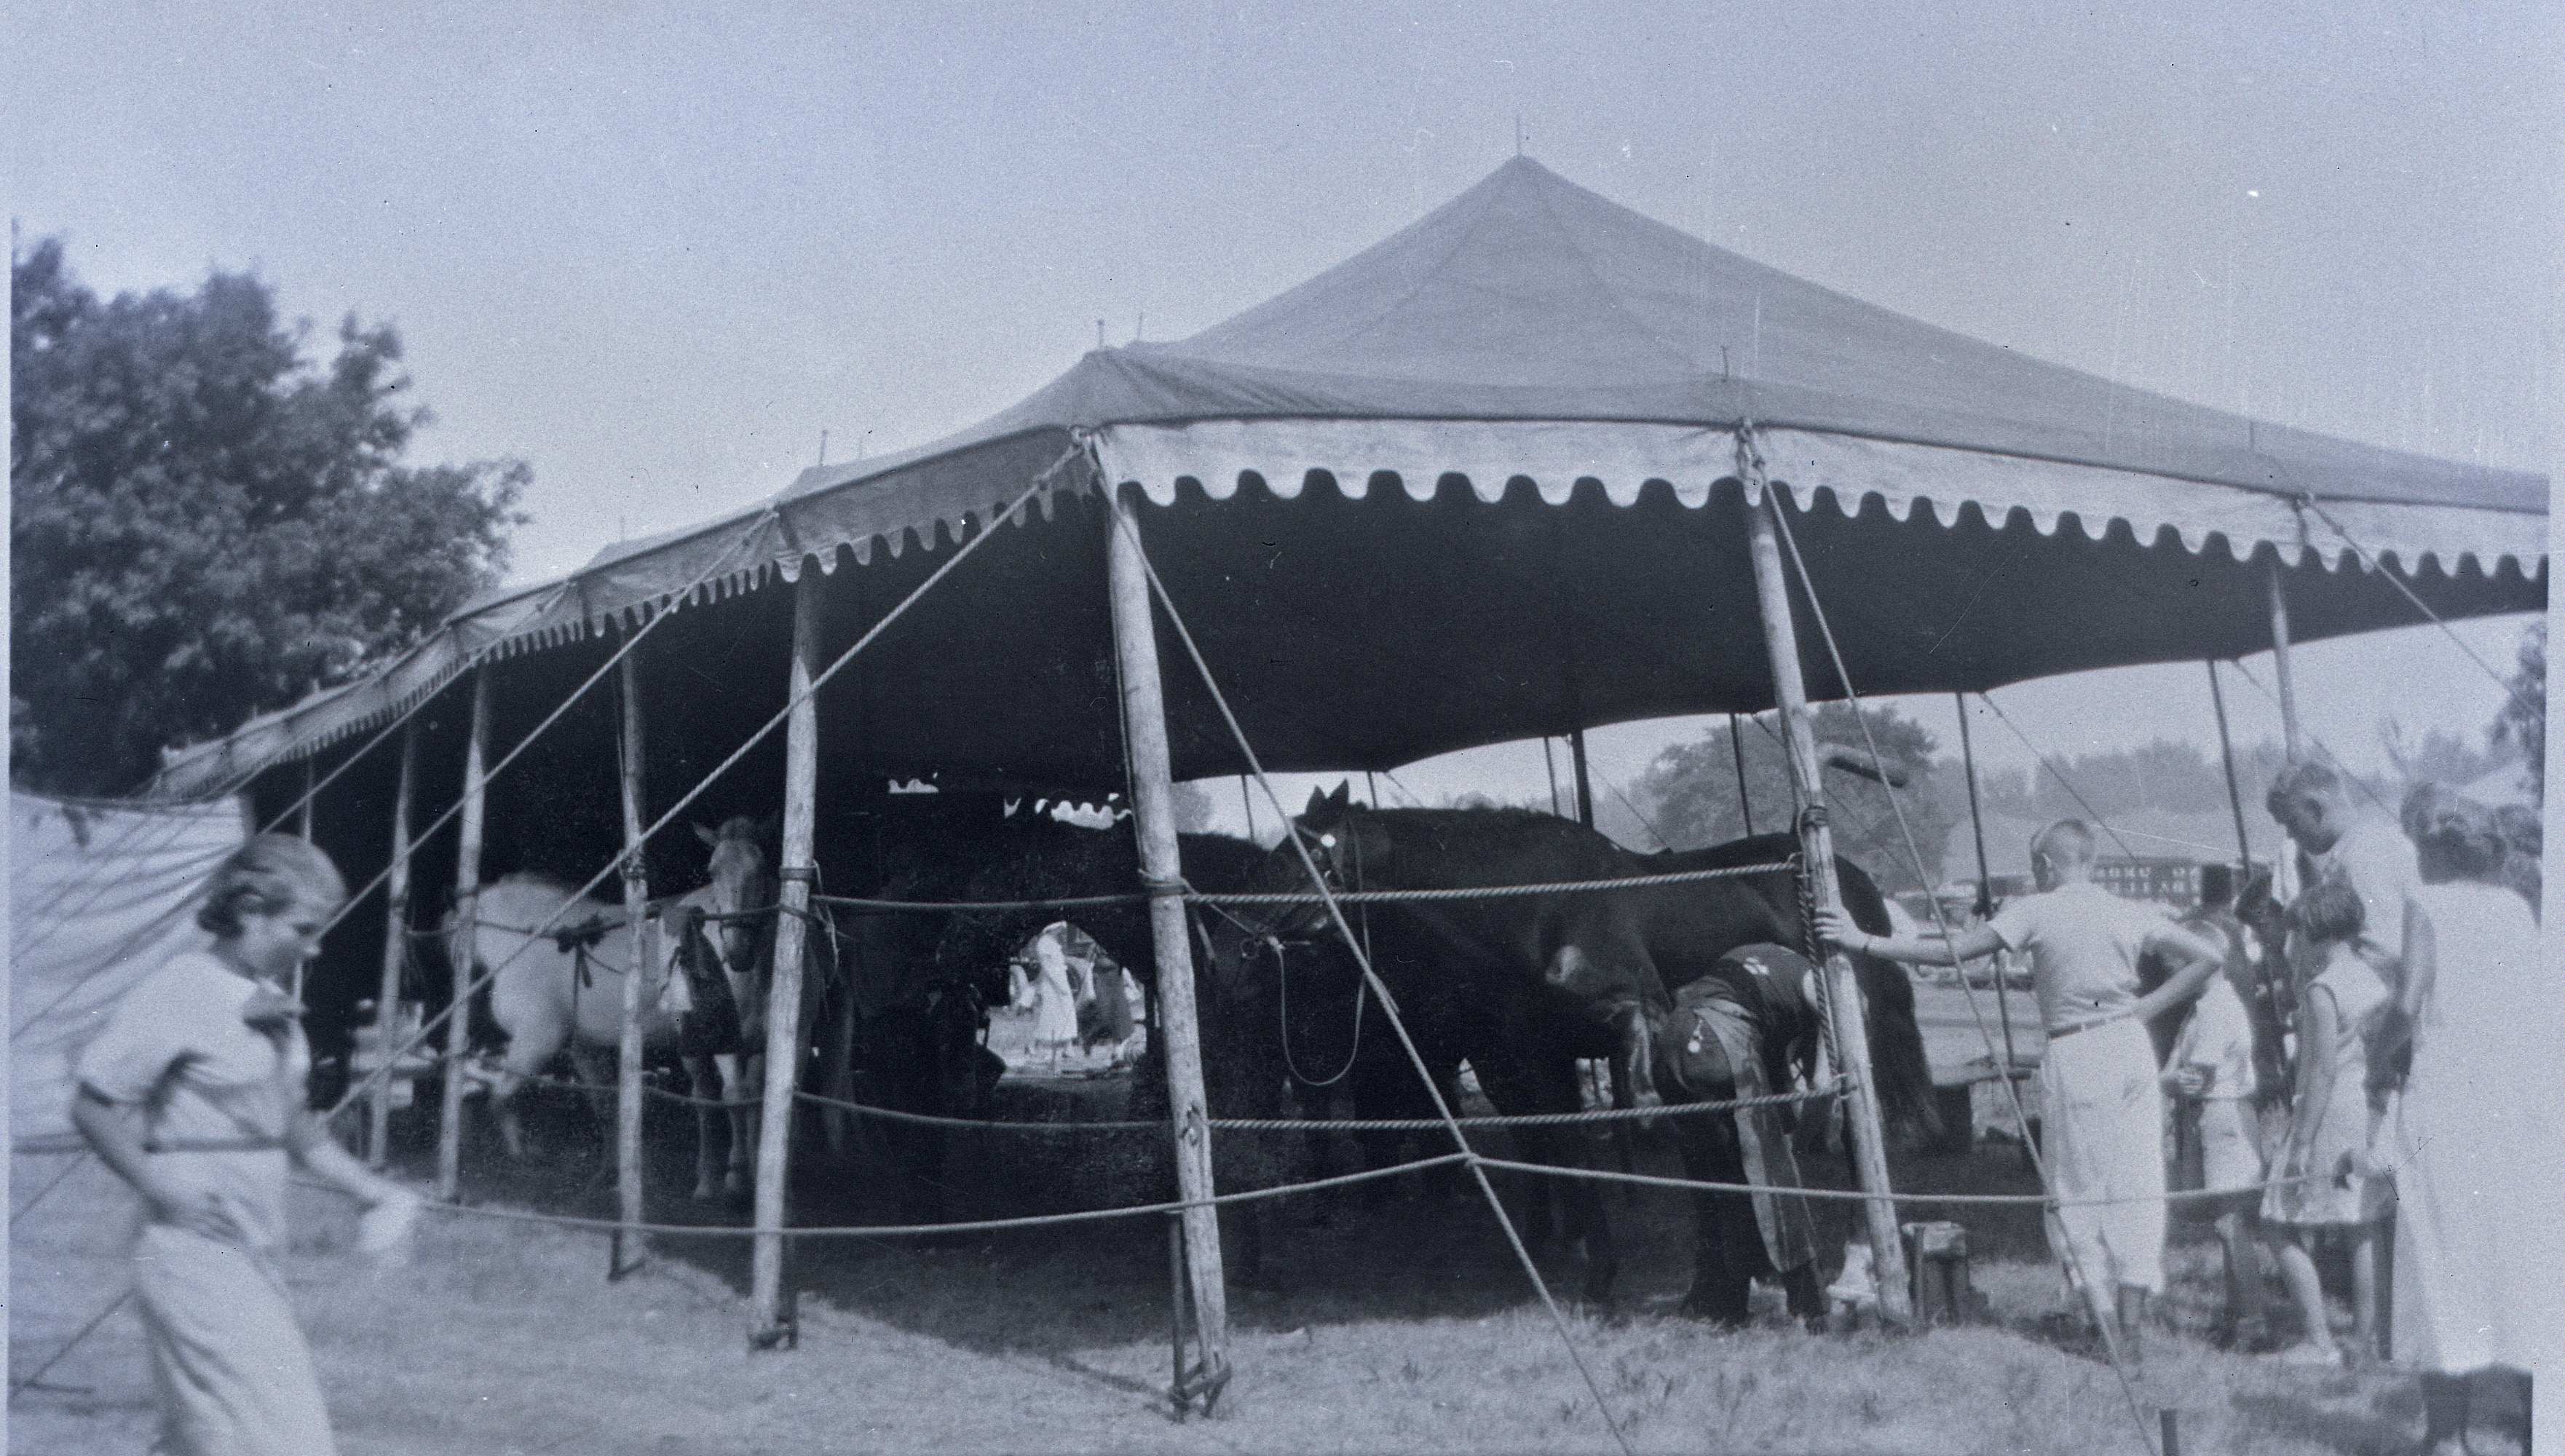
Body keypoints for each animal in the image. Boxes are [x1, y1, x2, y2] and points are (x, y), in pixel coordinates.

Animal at [1210, 784, 1929, 1322]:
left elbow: (1646, 1135)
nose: (1230, 950)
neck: (1538, 907)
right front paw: (1596, 1274)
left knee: (1845, 1130)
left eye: (1292, 861)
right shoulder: (1532, 1061)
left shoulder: (1637, 1028)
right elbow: (1566, 1152)